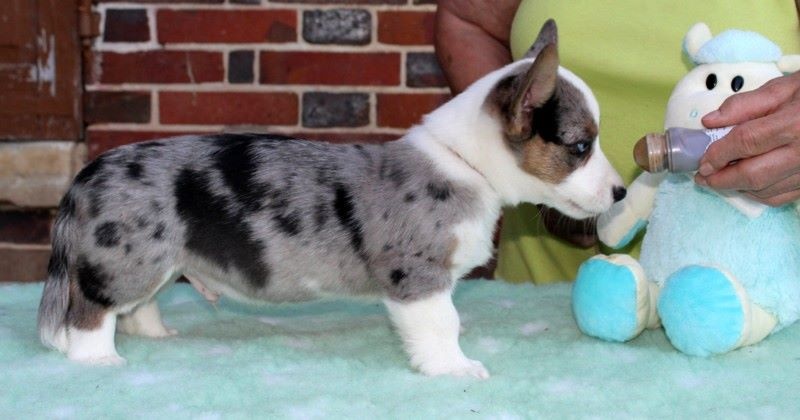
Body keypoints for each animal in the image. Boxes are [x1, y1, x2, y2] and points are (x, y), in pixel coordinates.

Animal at [38, 20, 624, 379]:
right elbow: (444, 324)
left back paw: (159, 336)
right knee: (90, 311)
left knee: (138, 306)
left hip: (156, 263)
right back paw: (99, 362)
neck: (467, 163)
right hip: (128, 259)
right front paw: (456, 369)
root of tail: (88, 172)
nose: (621, 191)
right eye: (581, 146)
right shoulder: (420, 276)